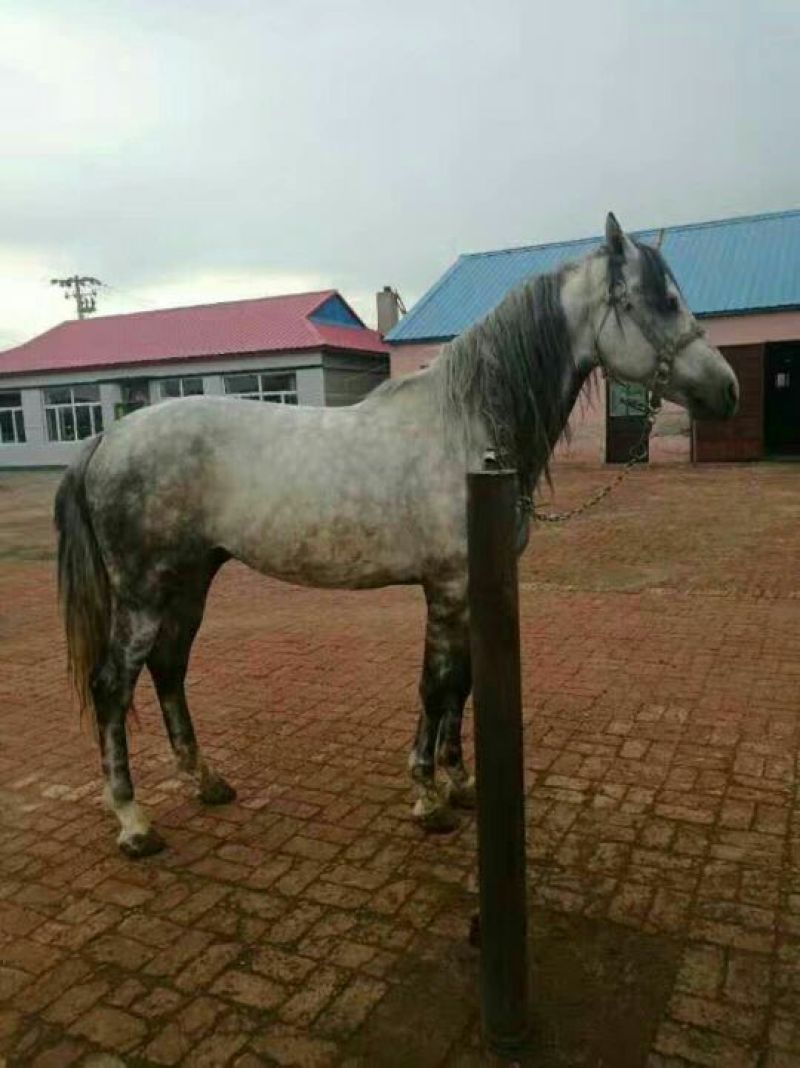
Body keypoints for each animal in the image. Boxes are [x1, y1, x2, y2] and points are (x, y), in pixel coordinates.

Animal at [55, 213, 738, 858]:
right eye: (661, 301)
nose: (727, 391)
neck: (464, 428)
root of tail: (105, 439)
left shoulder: (468, 588)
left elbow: (462, 684)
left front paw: (459, 783)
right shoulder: (447, 588)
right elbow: (435, 687)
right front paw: (427, 798)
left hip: (192, 578)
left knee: (169, 668)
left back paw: (206, 782)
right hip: (143, 594)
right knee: (113, 687)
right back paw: (134, 822)